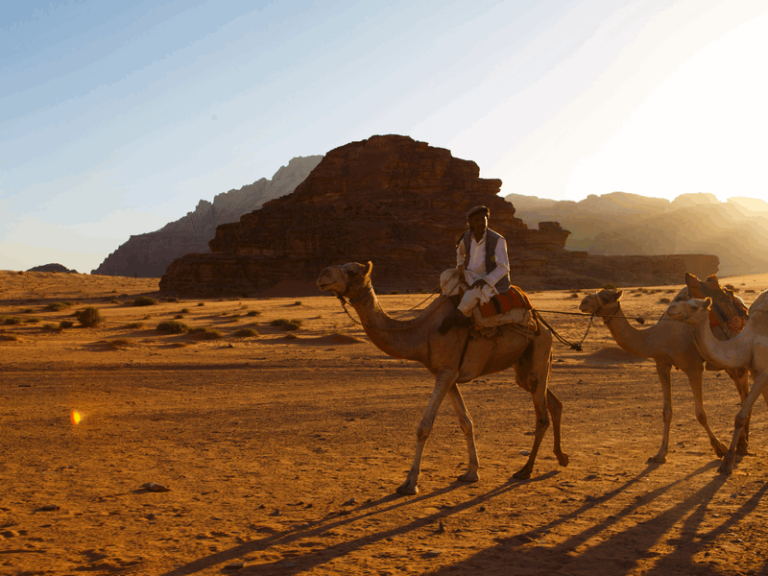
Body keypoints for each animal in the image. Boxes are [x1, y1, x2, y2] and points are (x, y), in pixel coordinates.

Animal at [314, 262, 568, 496]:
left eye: (352, 271)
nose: (322, 275)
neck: (423, 332)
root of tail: (542, 323)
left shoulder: (446, 373)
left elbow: (424, 427)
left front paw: (410, 483)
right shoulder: (447, 374)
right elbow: (466, 422)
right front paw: (471, 472)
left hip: (539, 351)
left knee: (541, 416)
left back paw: (526, 470)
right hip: (523, 366)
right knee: (553, 402)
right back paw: (561, 457)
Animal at [580, 288, 748, 464]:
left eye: (606, 297)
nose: (583, 302)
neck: (660, 337)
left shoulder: (693, 367)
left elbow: (700, 414)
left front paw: (720, 448)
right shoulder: (661, 365)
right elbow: (667, 411)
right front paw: (660, 454)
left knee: (744, 393)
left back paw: (741, 445)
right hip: (728, 364)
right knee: (741, 391)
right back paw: (742, 443)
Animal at [664, 294, 768, 474]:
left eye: (694, 307)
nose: (671, 309)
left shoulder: (764, 372)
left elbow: (740, 417)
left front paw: (727, 462)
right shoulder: (756, 372)